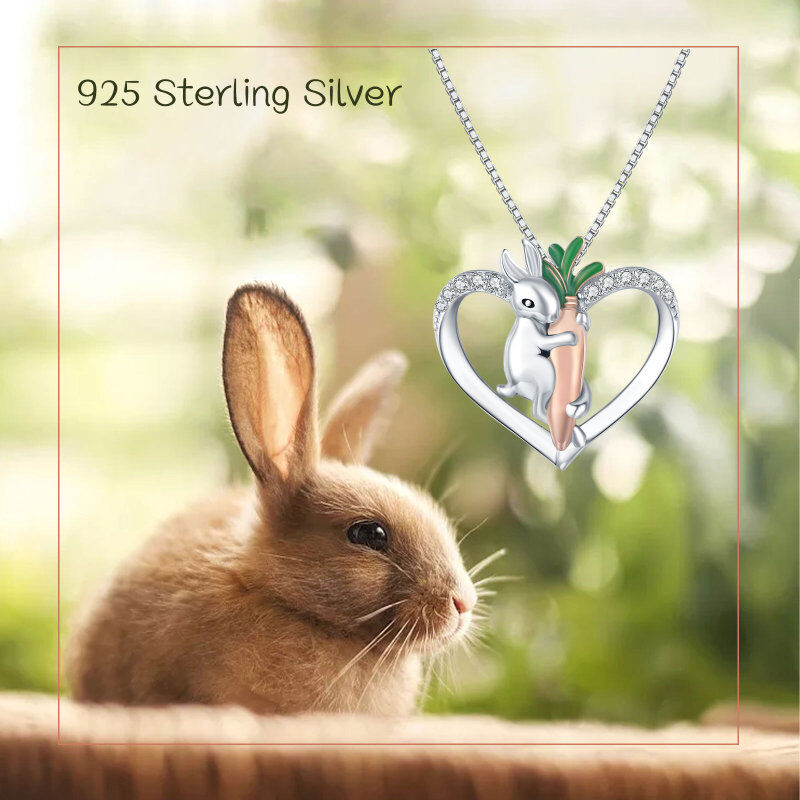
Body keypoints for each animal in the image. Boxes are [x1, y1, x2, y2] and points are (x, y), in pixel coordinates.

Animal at [496, 241, 589, 444]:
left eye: (552, 293)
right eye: (528, 303)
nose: (553, 316)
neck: (531, 319)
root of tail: (513, 386)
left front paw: (582, 320)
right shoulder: (538, 337)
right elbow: (548, 342)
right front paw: (571, 336)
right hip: (547, 375)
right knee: (538, 412)